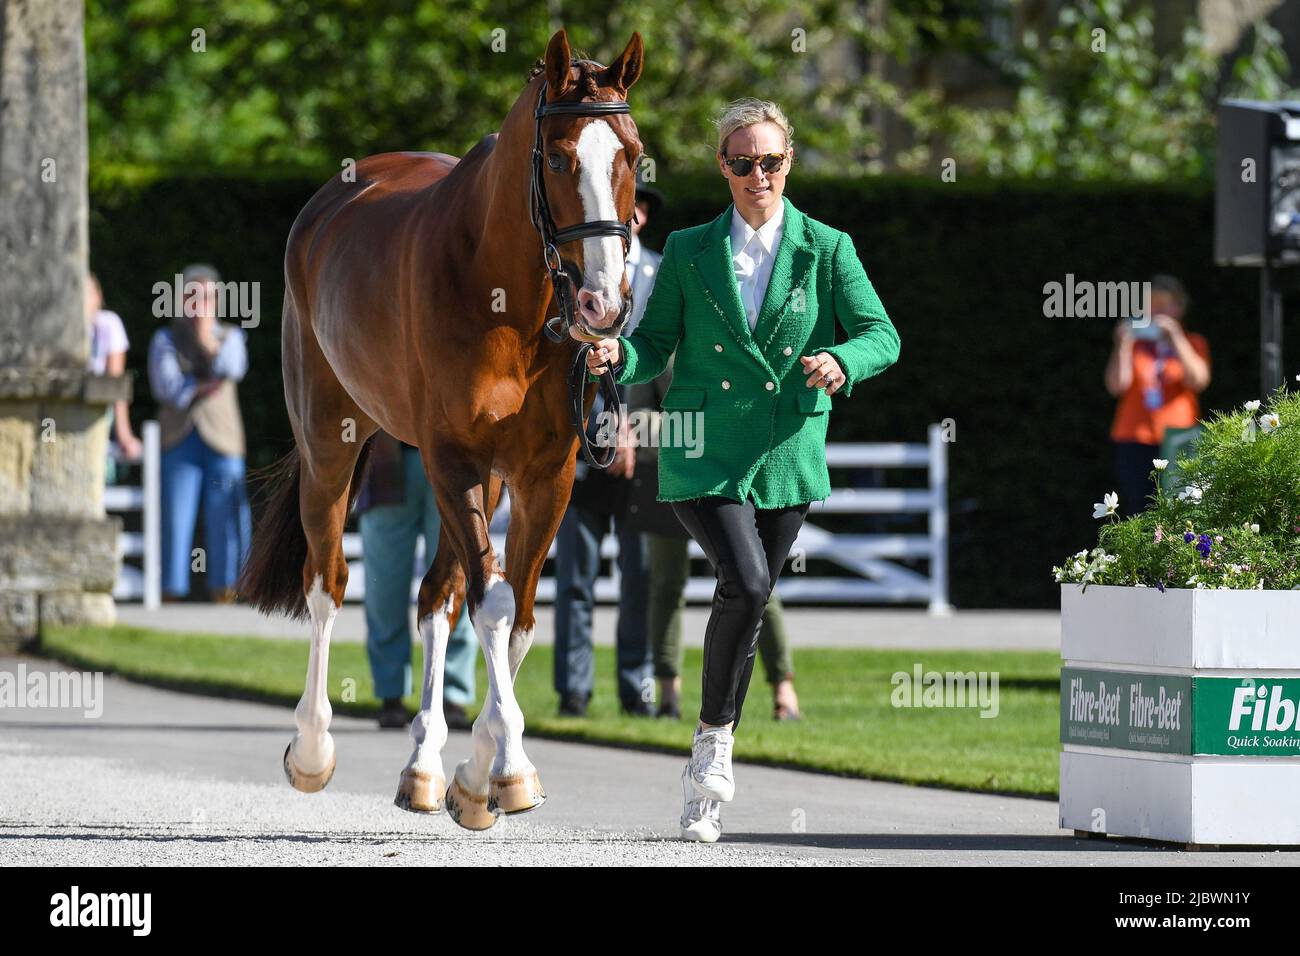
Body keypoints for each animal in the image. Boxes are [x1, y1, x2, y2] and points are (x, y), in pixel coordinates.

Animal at [239, 29, 644, 832]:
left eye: (633, 155)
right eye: (558, 159)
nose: (604, 305)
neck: (506, 296)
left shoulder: (542, 473)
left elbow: (517, 611)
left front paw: (476, 774)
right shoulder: (452, 461)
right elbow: (493, 604)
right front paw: (511, 768)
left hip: (485, 476)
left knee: (435, 598)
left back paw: (425, 765)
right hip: (330, 443)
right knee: (327, 583)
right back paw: (312, 748)